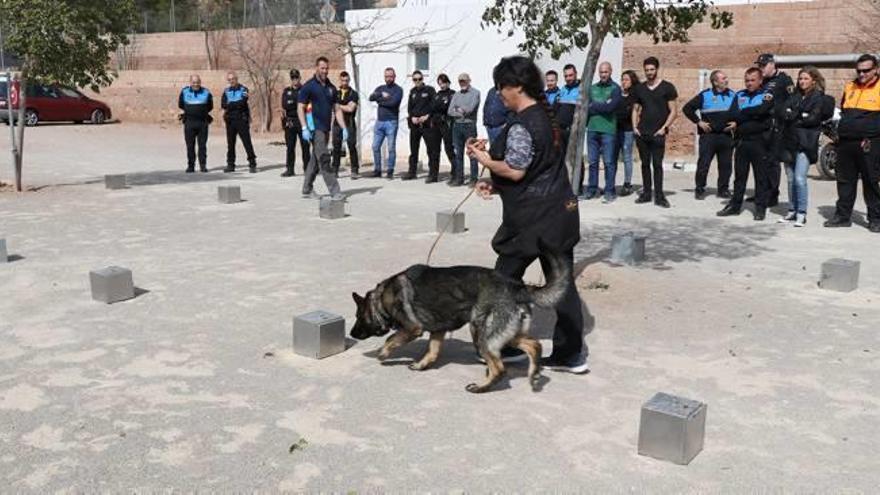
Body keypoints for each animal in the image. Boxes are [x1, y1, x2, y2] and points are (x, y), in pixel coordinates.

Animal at [350, 250, 572, 394]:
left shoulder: (413, 329)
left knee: (499, 368)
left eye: (358, 317)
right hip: (504, 334)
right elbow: (432, 351)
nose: (351, 334)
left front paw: (382, 354)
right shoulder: (438, 331)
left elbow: (391, 339)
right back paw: (533, 375)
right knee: (534, 345)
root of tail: (517, 288)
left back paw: (481, 388)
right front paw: (421, 365)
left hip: (481, 334)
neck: (381, 298)